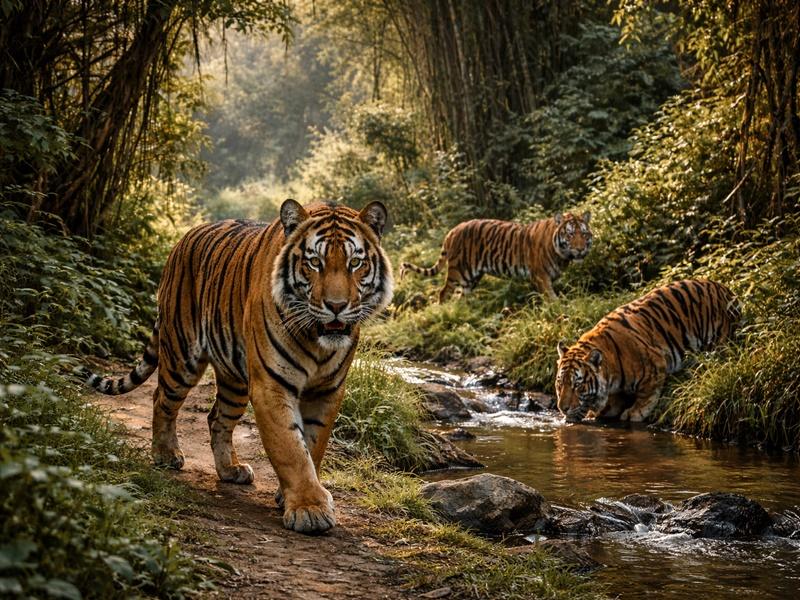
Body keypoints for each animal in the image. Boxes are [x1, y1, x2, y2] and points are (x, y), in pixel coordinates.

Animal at [80, 199, 393, 534]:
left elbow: (313, 444)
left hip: (234, 378)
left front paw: (294, 496)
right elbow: (291, 448)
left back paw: (230, 469)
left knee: (217, 417)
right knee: (161, 399)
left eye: (355, 263)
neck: (316, 339)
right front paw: (309, 509)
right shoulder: (271, 386)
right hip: (182, 355)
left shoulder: (328, 390)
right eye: (314, 262)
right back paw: (166, 454)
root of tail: (183, 238)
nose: (336, 306)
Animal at [399, 212, 592, 302]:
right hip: (458, 271)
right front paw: (559, 309)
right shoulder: (540, 276)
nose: (580, 249)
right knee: (443, 292)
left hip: (472, 278)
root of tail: (452, 230)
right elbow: (551, 297)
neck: (562, 255)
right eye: (570, 234)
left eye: (583, 234)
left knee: (462, 296)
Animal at [555, 279, 740, 424]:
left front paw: (634, 413)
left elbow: (646, 395)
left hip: (720, 341)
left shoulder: (656, 364)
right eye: (560, 384)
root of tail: (727, 290)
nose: (563, 409)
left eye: (577, 385)